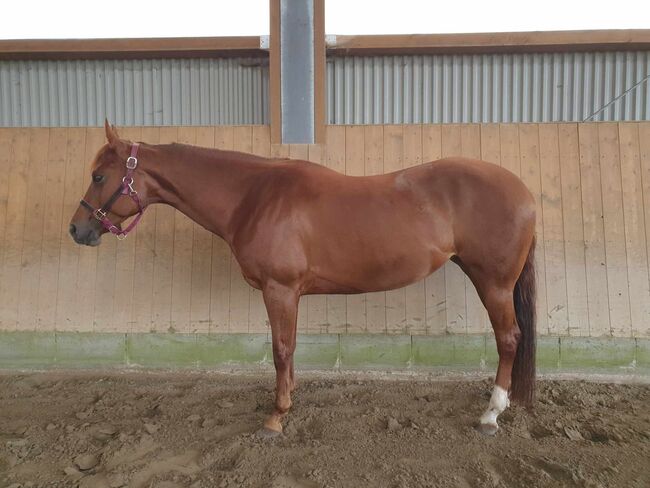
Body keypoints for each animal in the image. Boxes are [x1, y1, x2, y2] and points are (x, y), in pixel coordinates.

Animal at [72, 121, 536, 434]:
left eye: (99, 176)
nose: (77, 230)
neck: (253, 196)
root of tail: (522, 191)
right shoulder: (290, 294)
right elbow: (290, 349)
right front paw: (289, 398)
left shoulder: (279, 290)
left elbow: (280, 349)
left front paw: (275, 417)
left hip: (493, 283)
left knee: (508, 339)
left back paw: (490, 414)